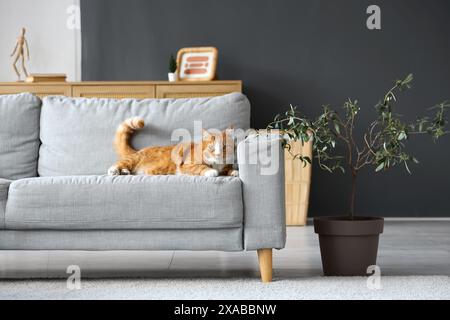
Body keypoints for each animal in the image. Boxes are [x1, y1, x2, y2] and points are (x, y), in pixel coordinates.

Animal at [107, 117, 239, 178]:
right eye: (211, 148)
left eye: (224, 147)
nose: (218, 155)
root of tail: (140, 150)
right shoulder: (187, 165)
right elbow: (201, 167)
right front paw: (212, 171)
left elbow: (228, 169)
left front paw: (234, 171)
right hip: (132, 160)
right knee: (119, 163)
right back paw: (115, 170)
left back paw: (125, 172)